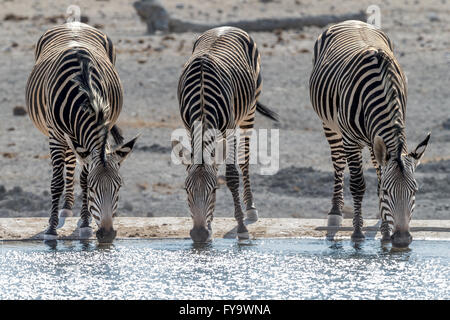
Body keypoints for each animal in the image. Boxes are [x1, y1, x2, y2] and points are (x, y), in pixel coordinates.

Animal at [25, 23, 138, 242]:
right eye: (94, 189)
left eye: (119, 186)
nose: (107, 234)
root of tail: (73, 23)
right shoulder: (55, 136)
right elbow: (57, 182)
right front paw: (51, 229)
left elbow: (83, 179)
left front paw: (85, 223)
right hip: (65, 137)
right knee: (68, 162)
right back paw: (66, 209)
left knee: (72, 159)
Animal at [172, 26, 278, 242]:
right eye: (186, 190)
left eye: (214, 190)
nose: (199, 235)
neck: (202, 97)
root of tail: (228, 27)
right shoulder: (189, 128)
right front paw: (210, 226)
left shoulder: (230, 130)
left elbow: (231, 176)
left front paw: (241, 228)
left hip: (249, 111)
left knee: (245, 160)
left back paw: (250, 209)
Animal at [310, 20, 428, 248]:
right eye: (387, 193)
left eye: (415, 191)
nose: (402, 240)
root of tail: (351, 22)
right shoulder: (349, 140)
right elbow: (358, 185)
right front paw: (357, 233)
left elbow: (379, 180)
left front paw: (385, 232)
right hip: (330, 126)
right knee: (338, 163)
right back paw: (335, 213)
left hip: (374, 142)